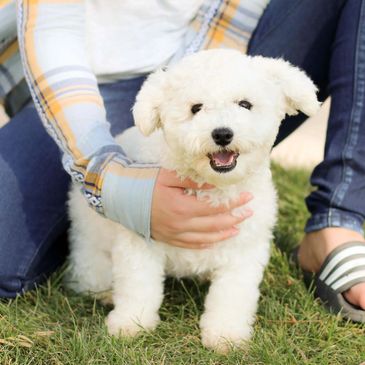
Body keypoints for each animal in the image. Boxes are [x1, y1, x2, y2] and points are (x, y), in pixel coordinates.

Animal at [66, 49, 318, 352]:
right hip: (90, 231)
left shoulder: (243, 250)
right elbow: (138, 285)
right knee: (89, 261)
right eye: (196, 108)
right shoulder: (140, 241)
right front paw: (130, 323)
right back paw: (103, 290)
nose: (222, 133)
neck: (212, 186)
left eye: (245, 104)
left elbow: (232, 295)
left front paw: (225, 334)